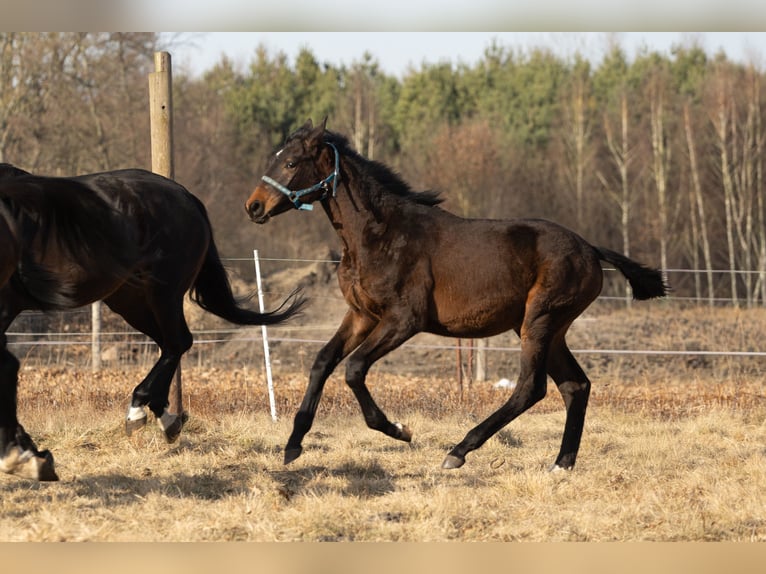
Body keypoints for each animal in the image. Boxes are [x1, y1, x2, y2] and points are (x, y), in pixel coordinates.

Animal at [0, 164, 304, 481]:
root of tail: (185, 196)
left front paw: (23, 453)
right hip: (129, 300)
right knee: (170, 344)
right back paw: (164, 416)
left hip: (162, 292)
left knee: (177, 342)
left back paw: (141, 411)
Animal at [244, 118, 667, 471]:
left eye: (291, 163)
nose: (253, 206)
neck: (377, 234)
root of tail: (591, 249)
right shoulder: (362, 315)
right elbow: (322, 362)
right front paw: (293, 445)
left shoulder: (403, 320)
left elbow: (354, 369)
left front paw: (399, 429)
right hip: (549, 329)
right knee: (575, 386)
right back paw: (561, 464)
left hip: (540, 321)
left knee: (531, 388)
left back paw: (459, 451)